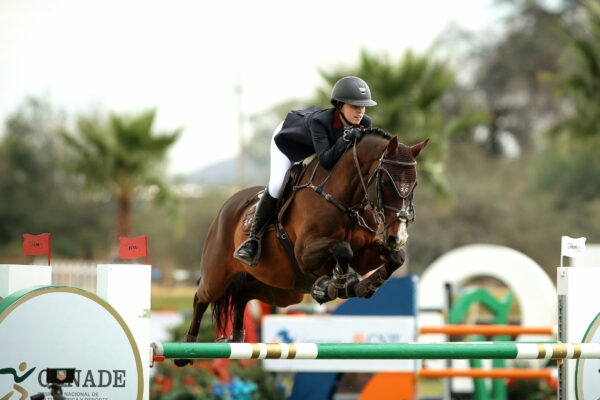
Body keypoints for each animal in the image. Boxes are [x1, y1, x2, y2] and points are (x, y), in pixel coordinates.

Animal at [176, 128, 428, 366]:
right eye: (384, 181)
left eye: (415, 183)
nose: (398, 237)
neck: (346, 201)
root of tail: (228, 204)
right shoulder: (304, 253)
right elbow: (342, 248)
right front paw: (336, 285)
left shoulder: (365, 255)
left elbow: (395, 258)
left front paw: (359, 286)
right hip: (218, 274)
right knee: (201, 297)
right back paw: (186, 351)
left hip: (283, 289)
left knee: (242, 293)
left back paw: (236, 339)